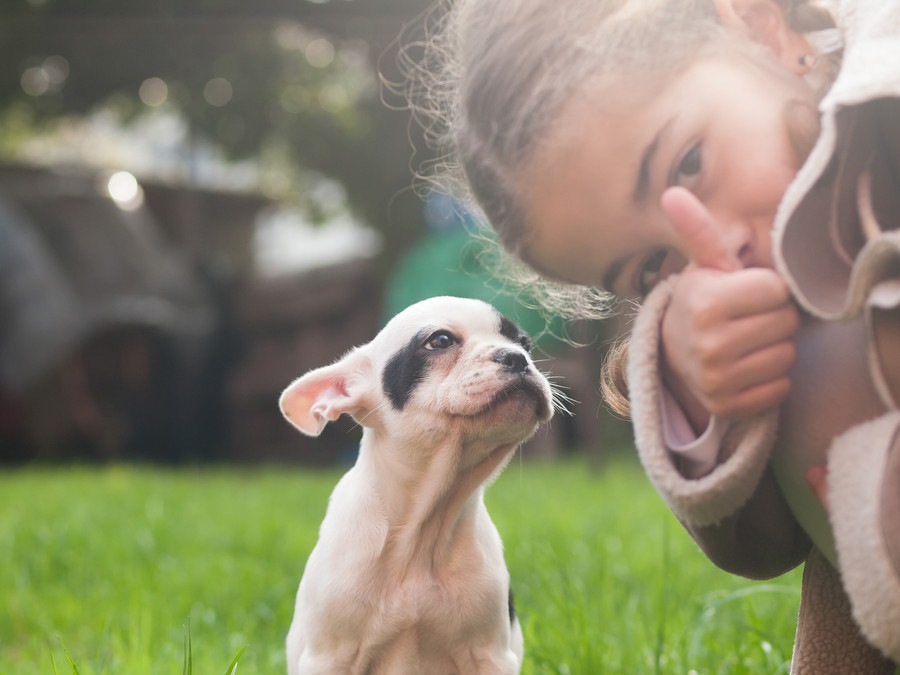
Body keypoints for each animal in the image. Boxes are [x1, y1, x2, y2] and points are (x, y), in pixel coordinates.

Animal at [278, 296, 556, 675]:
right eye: (440, 340)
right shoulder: (330, 657)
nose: (517, 357)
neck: (422, 527)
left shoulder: (490, 656)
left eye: (525, 344)